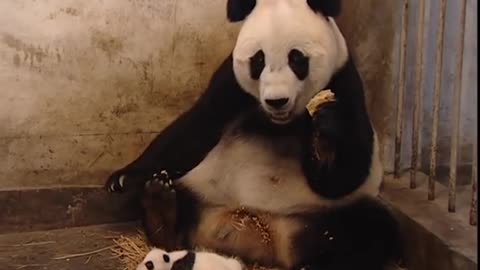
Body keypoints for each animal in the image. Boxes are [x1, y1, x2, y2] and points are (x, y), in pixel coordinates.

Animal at [105, 0, 402, 270]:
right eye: (258, 60)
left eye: (297, 59)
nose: (276, 101)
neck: (281, 121)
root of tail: (254, 236)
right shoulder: (230, 84)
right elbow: (194, 128)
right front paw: (123, 178)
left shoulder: (344, 81)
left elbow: (346, 173)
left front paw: (324, 135)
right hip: (201, 191)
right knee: (175, 202)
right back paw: (160, 208)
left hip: (320, 215)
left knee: (371, 228)